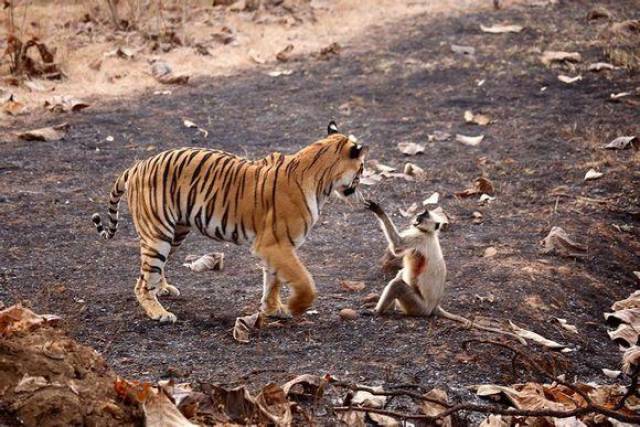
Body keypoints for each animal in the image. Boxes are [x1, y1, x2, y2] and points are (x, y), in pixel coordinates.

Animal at [92, 122, 368, 323]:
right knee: (142, 282)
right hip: (158, 234)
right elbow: (303, 280)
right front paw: (295, 307)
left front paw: (273, 308)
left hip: (175, 232)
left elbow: (273, 281)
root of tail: (137, 166)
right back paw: (159, 313)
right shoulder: (275, 244)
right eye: (362, 168)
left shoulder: (275, 248)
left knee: (153, 271)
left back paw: (164, 289)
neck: (321, 180)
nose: (362, 191)